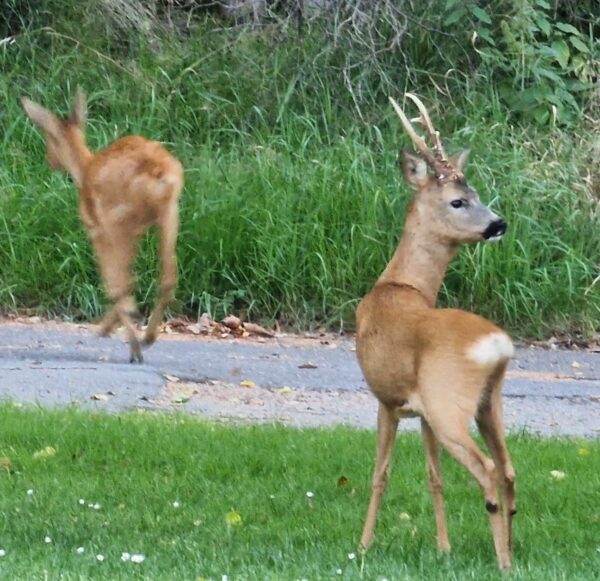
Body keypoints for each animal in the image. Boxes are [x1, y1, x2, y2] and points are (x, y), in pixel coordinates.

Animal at [21, 89, 183, 362]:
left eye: (48, 139)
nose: (49, 160)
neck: (84, 168)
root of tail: (157, 171)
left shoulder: (96, 229)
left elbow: (113, 281)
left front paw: (108, 327)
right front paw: (111, 325)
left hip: (116, 219)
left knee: (125, 283)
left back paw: (135, 347)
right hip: (169, 213)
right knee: (167, 277)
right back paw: (147, 338)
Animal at [356, 93, 516, 568]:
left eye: (472, 195)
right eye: (460, 201)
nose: (498, 224)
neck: (399, 284)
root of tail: (497, 345)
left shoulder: (388, 400)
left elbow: (380, 473)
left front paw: (363, 545)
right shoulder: (421, 410)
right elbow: (434, 476)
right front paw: (443, 548)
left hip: (449, 402)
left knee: (487, 469)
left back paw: (502, 559)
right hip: (489, 402)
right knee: (509, 468)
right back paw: (511, 551)